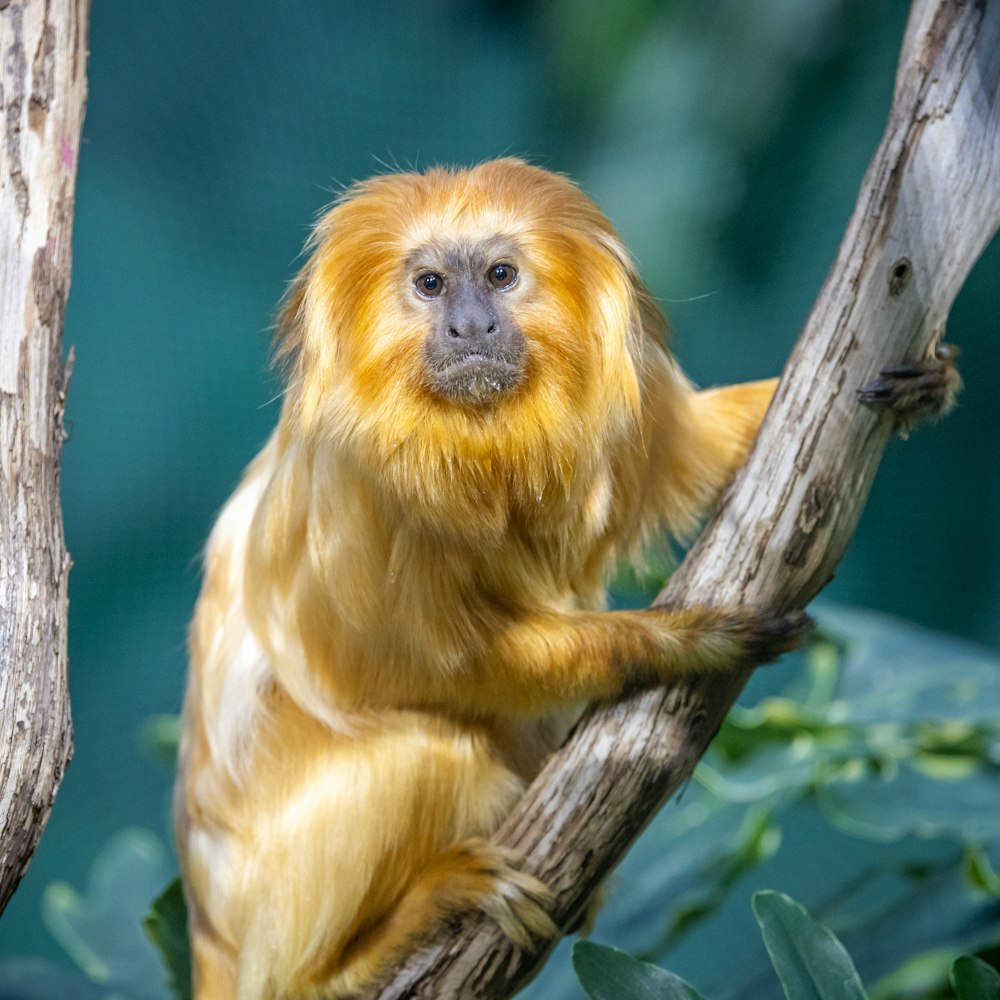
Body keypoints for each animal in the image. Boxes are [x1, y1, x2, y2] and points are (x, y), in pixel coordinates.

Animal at [176, 160, 956, 996]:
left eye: (500, 275)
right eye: (429, 284)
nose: (470, 327)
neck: (476, 441)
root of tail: (208, 931)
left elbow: (705, 446)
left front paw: (927, 383)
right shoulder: (359, 490)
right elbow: (417, 666)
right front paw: (680, 641)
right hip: (264, 902)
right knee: (428, 758)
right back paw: (366, 948)